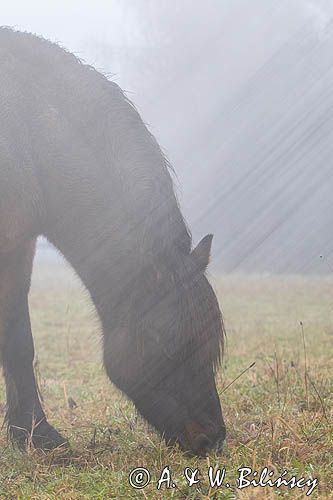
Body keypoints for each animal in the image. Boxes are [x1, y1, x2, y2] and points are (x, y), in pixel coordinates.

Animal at [0, 28, 226, 458]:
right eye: (165, 341)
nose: (211, 439)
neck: (28, 134)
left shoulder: (19, 246)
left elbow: (19, 341)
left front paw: (30, 433)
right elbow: (15, 338)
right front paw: (36, 434)